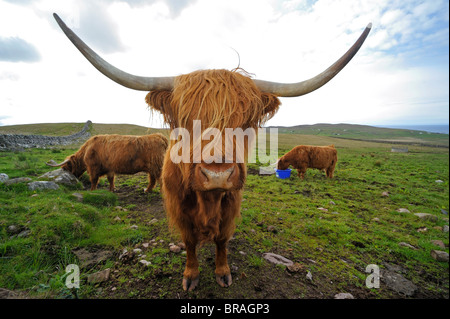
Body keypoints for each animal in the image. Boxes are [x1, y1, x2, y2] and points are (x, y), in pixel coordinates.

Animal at [51, 13, 370, 292]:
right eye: (184, 120)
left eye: (246, 121)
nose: (217, 174)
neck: (208, 201)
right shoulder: (179, 209)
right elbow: (190, 243)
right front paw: (191, 276)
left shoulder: (231, 206)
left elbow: (222, 241)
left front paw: (223, 273)